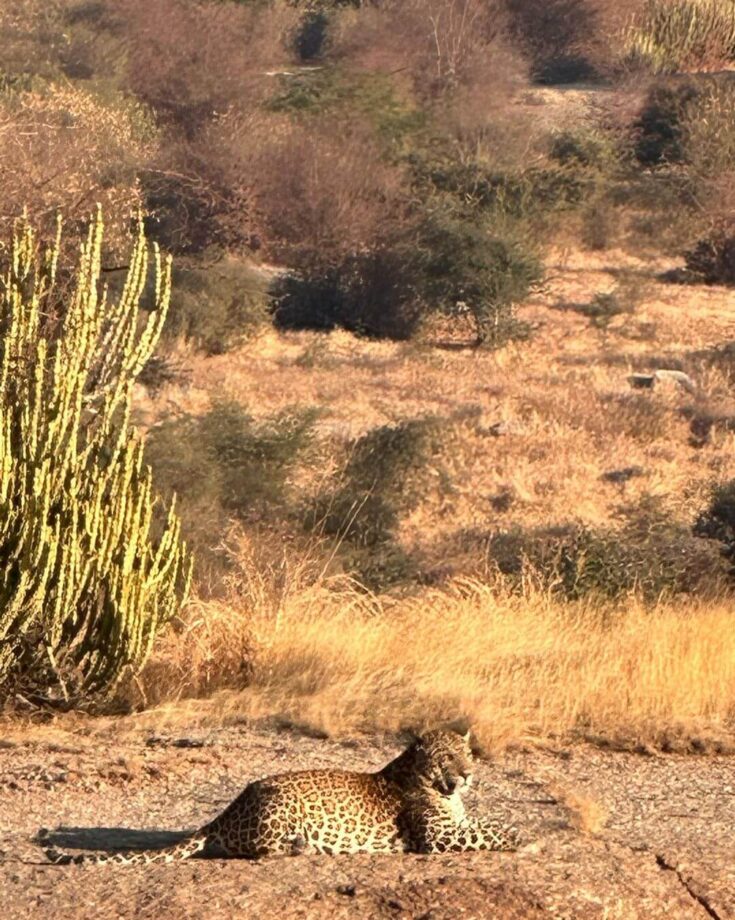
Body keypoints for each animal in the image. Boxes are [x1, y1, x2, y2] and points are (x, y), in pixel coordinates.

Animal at [41, 728, 524, 868]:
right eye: (447, 758)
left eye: (467, 753)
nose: (467, 775)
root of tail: (228, 810)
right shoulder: (437, 838)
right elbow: (491, 831)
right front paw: (524, 836)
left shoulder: (457, 824)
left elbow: (485, 823)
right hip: (280, 806)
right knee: (259, 851)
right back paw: (301, 847)